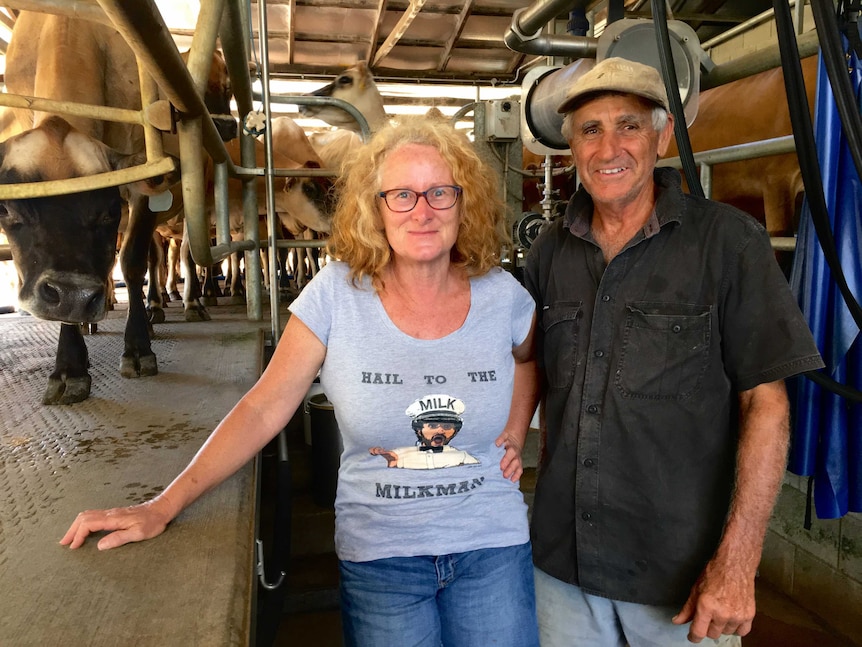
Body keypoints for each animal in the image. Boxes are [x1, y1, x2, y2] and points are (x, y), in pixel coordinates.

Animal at [0, 12, 235, 402]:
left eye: (110, 210)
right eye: (6, 210)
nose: (73, 295)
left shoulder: (141, 185)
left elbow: (133, 261)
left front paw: (138, 349)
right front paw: (70, 366)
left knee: (183, 256)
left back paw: (188, 304)